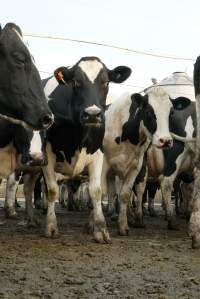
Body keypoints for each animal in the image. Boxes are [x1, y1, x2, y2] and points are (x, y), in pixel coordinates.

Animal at [101, 87, 191, 237]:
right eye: (148, 111)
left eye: (171, 113)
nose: (165, 140)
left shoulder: (135, 167)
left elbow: (125, 194)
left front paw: (123, 226)